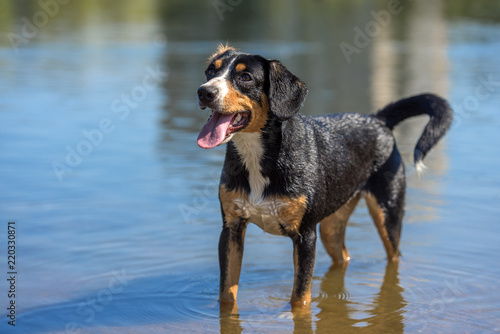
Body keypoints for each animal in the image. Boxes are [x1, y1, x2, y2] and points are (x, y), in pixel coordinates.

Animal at [195, 45, 454, 308]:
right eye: (210, 71)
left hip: (387, 215)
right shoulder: (231, 229)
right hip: (332, 227)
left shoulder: (305, 236)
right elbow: (227, 295)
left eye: (245, 77)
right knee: (344, 257)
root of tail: (377, 119)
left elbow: (300, 298)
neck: (257, 156)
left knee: (394, 256)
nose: (204, 92)